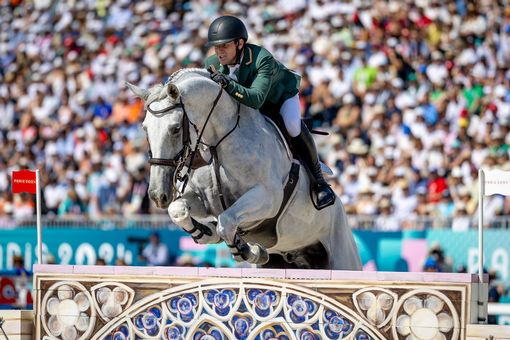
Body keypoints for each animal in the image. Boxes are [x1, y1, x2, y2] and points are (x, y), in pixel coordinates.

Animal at [126, 69, 362, 270]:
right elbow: (178, 210)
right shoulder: (205, 200)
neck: (218, 142)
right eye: (145, 129)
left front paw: (249, 250)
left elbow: (226, 221)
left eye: (175, 129)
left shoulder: (267, 199)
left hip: (342, 257)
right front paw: (205, 233)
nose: (158, 196)